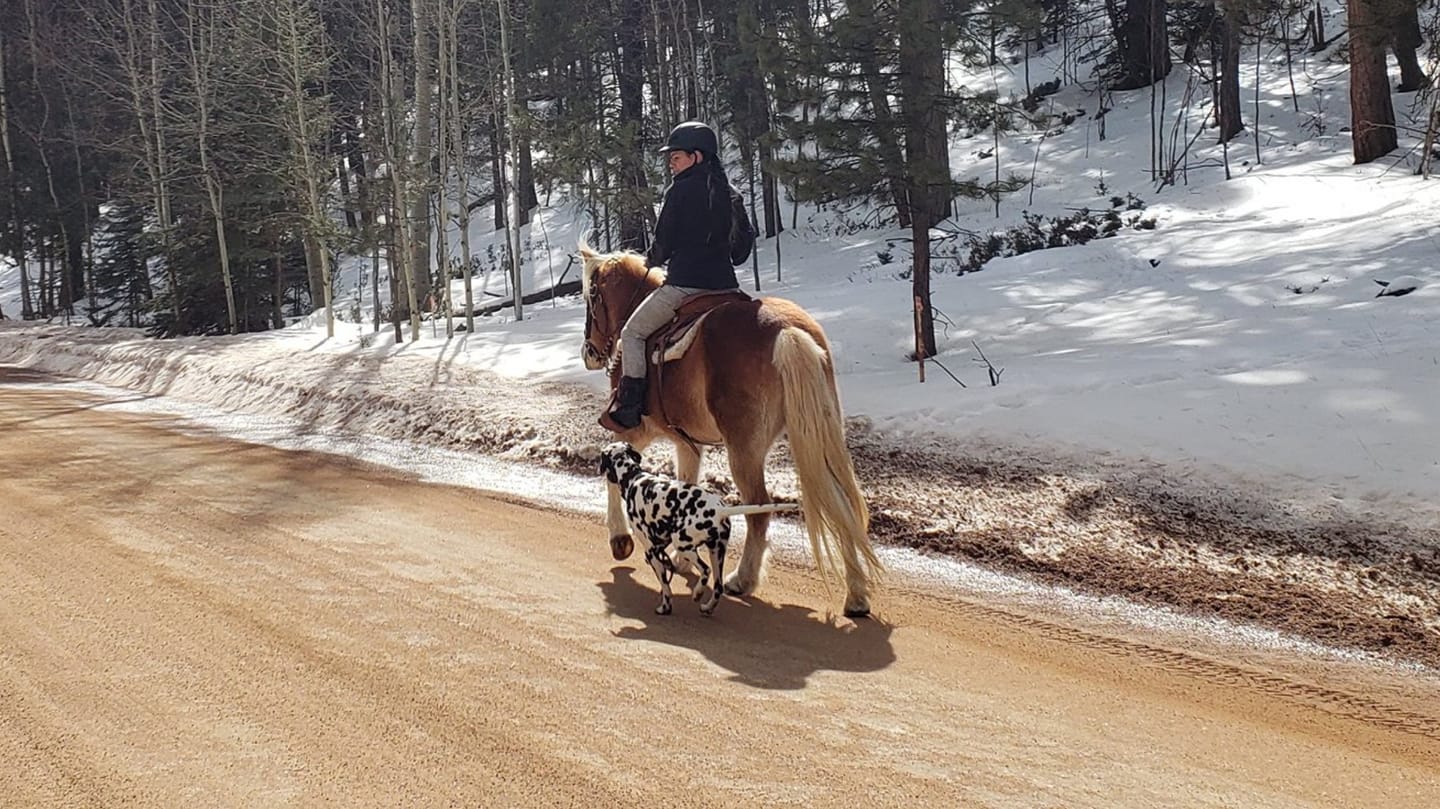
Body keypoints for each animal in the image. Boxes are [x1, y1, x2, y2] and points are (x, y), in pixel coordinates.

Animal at [596, 440, 800, 610]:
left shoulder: (651, 551)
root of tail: (719, 510)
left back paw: (697, 593)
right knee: (717, 587)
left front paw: (665, 607)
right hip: (716, 552)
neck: (634, 477)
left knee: (705, 571)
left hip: (685, 546)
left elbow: (665, 585)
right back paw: (707, 606)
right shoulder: (659, 544)